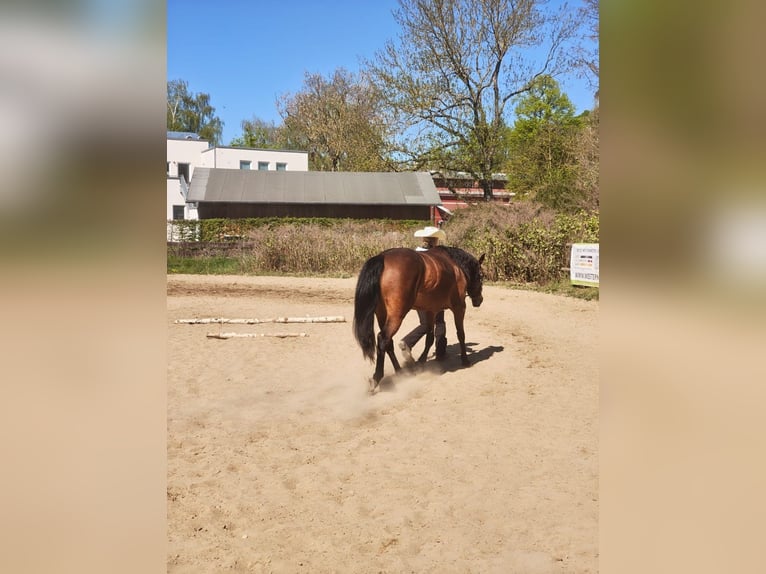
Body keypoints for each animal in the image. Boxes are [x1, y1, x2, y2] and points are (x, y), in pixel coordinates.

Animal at [353, 245, 485, 392]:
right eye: (481, 276)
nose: (479, 300)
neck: (455, 266)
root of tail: (382, 257)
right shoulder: (459, 307)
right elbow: (460, 334)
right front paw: (465, 360)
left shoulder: (431, 310)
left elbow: (429, 337)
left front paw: (421, 361)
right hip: (396, 316)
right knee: (383, 339)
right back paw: (377, 377)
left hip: (382, 314)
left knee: (388, 343)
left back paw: (400, 372)